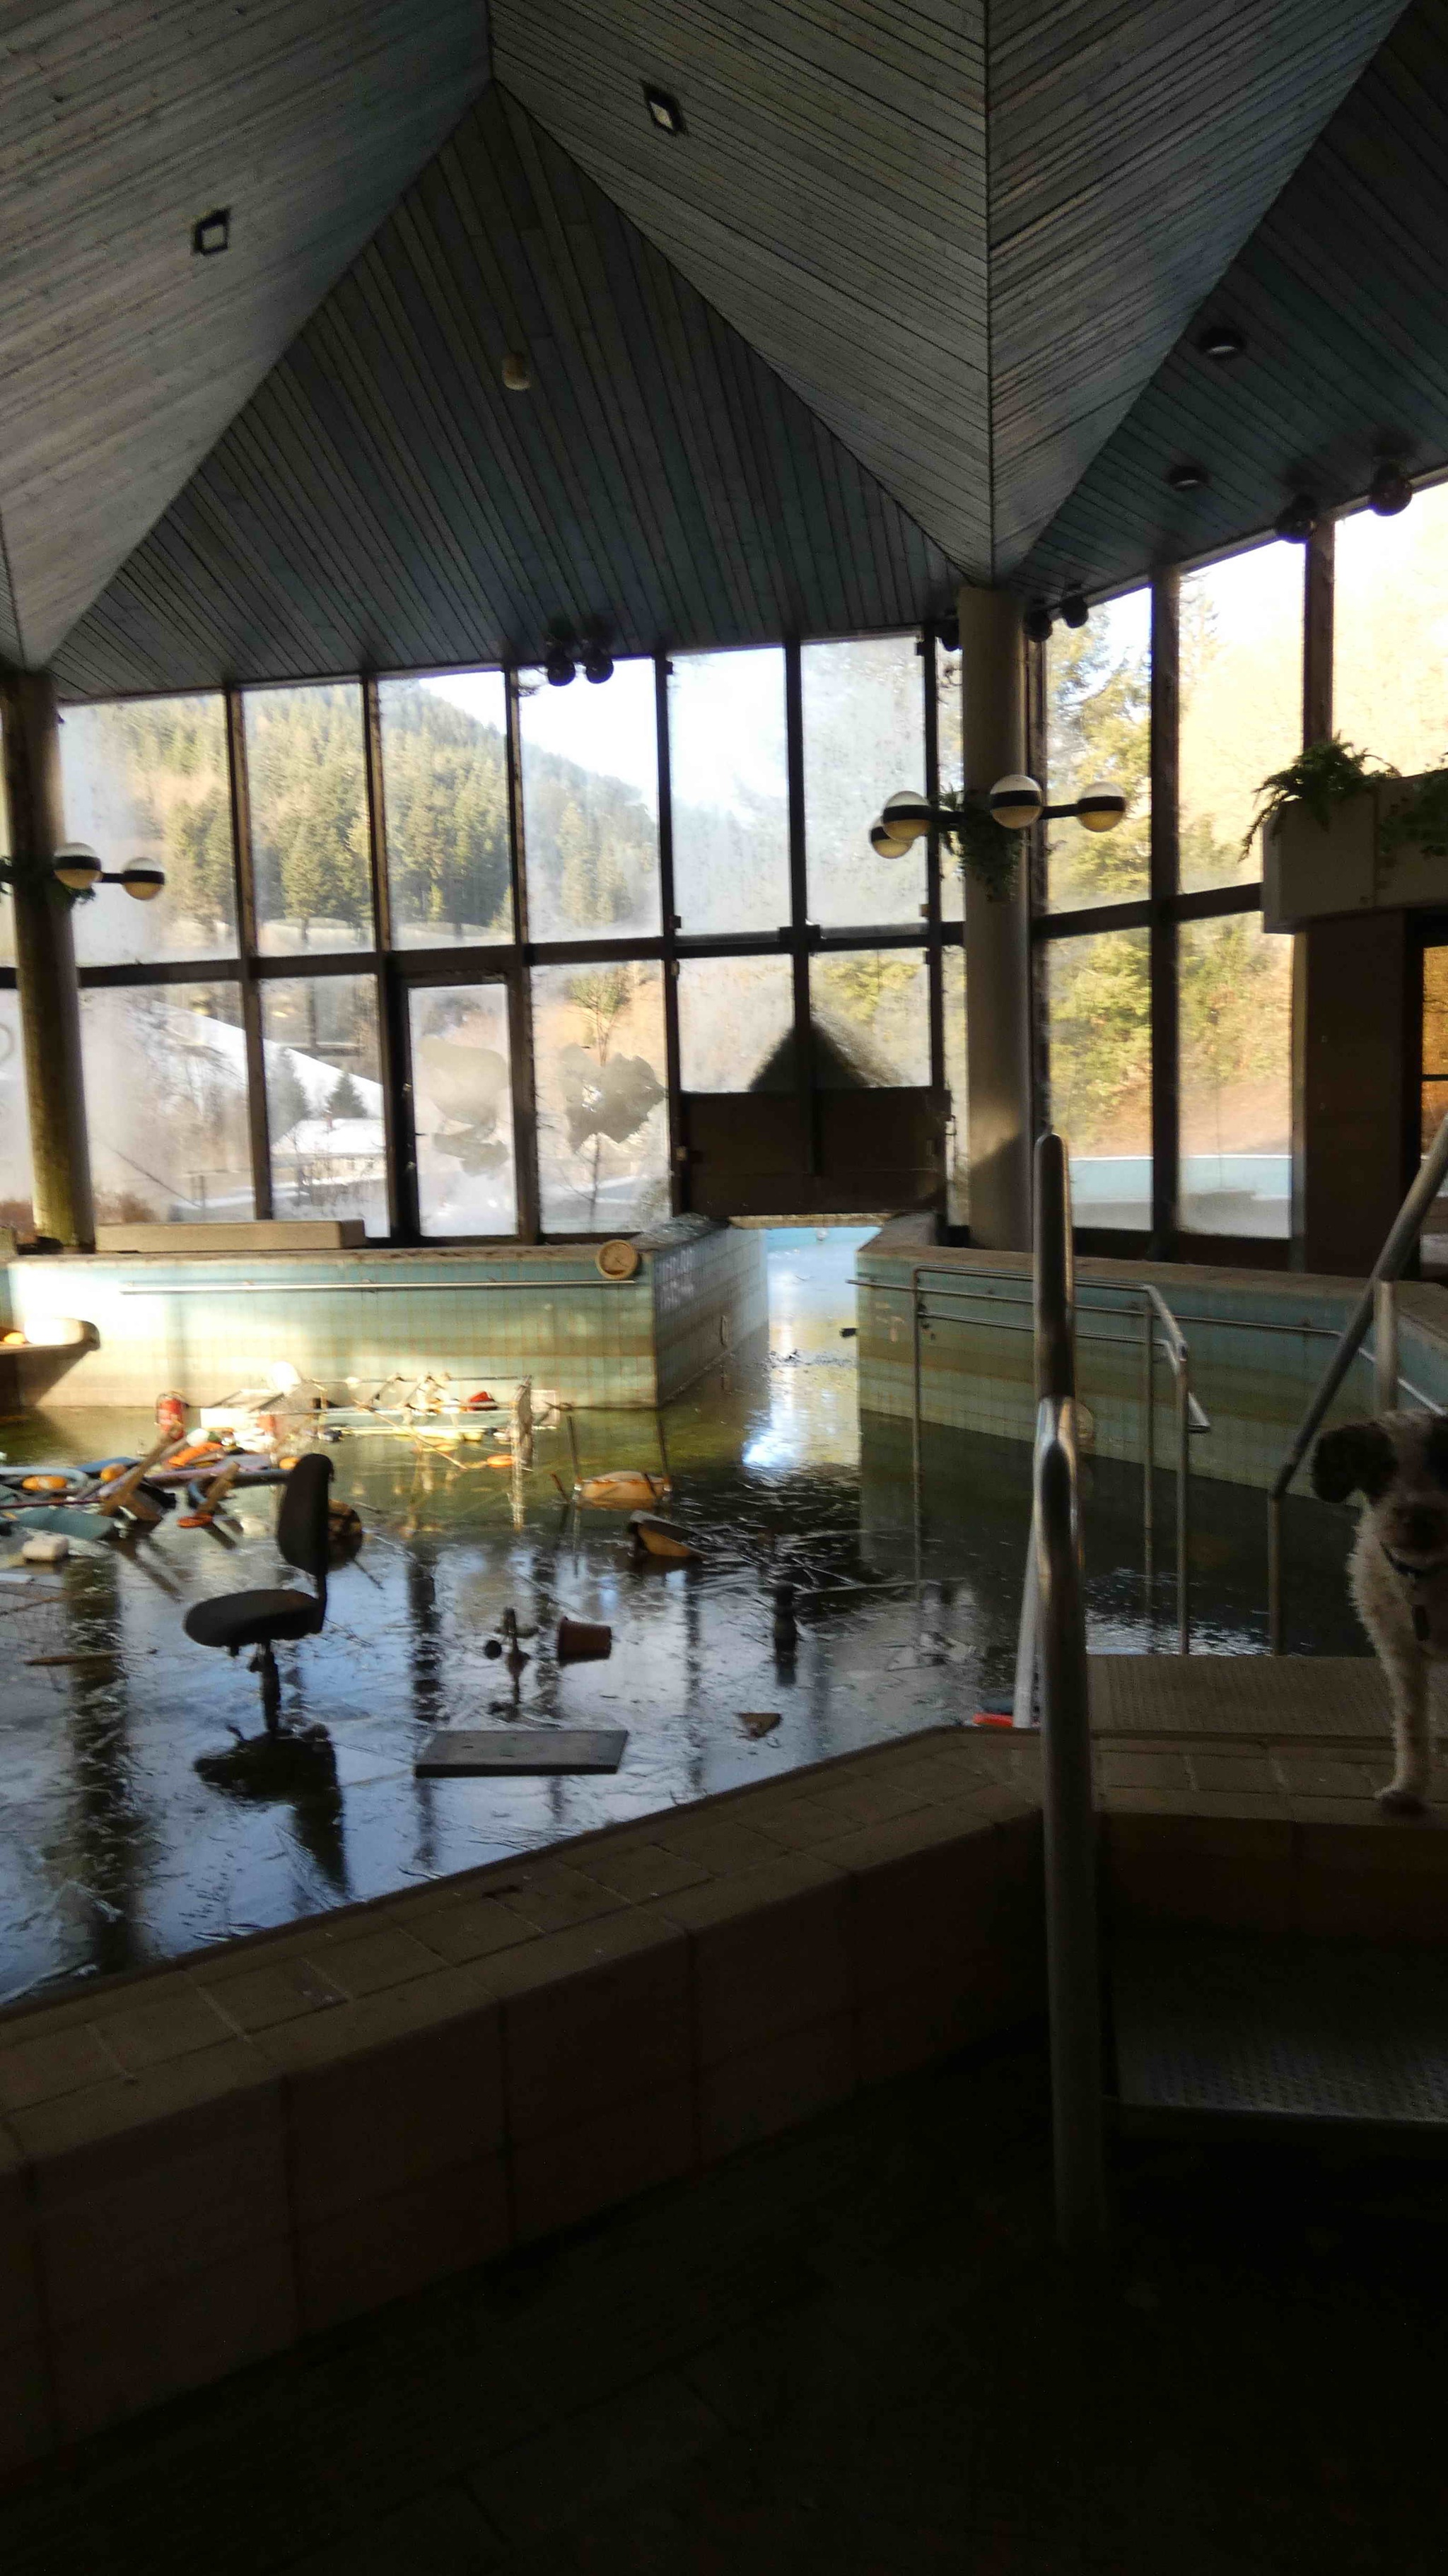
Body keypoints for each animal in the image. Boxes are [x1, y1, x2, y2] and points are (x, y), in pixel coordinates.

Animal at [1312, 1411, 1448, 1814]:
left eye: (1445, 1461)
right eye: (1381, 1469)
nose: (1420, 1518)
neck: (1423, 1575)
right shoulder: (1401, 1654)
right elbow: (1412, 1725)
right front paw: (1408, 1789)